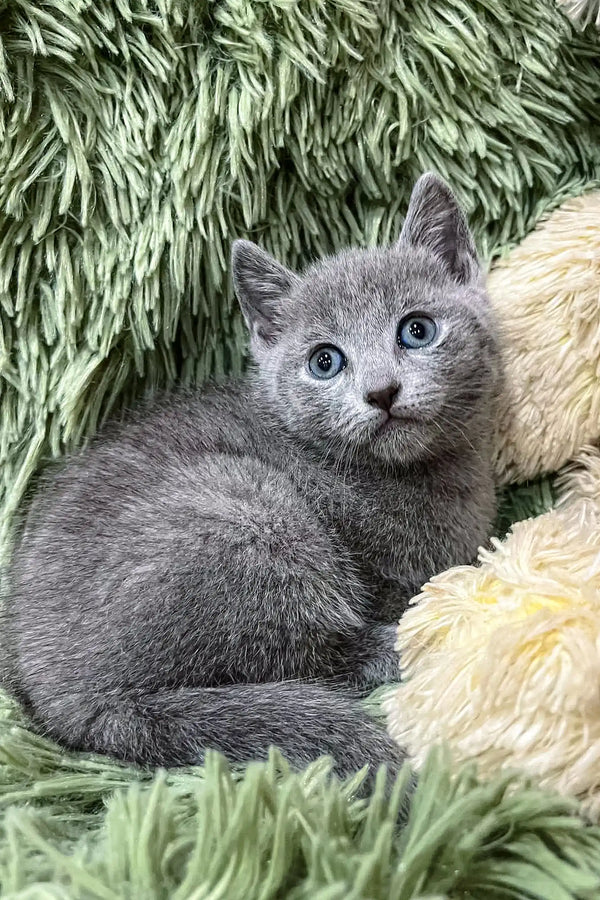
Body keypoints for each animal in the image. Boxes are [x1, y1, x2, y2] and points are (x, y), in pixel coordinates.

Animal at [0, 174, 502, 780]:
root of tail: (71, 703)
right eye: (325, 362)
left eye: (417, 330)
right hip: (251, 514)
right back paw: (397, 647)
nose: (382, 392)